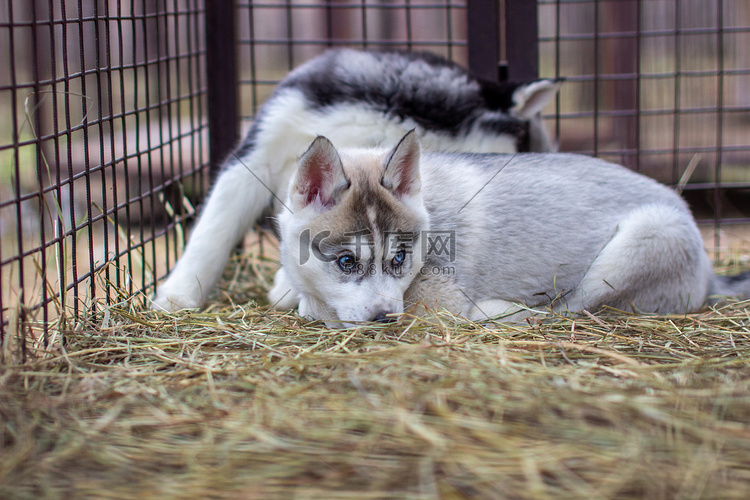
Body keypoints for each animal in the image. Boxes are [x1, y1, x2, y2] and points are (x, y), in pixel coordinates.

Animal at [272, 131, 750, 328]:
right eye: (346, 262)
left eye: (399, 259)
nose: (384, 319)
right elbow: (286, 293)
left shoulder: (435, 302)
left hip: (642, 239)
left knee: (569, 309)